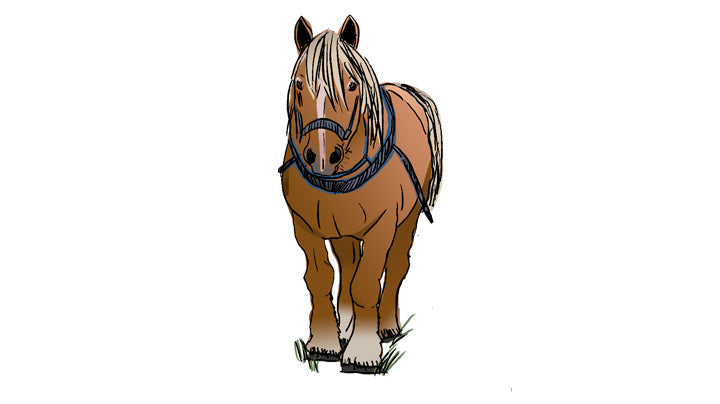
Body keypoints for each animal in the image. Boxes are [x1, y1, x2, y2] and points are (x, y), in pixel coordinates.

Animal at [279, 15, 443, 373]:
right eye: (298, 83)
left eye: (352, 85)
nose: (321, 157)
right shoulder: (304, 225)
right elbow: (320, 277)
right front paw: (324, 342)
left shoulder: (383, 225)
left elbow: (367, 282)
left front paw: (364, 351)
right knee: (349, 263)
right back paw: (347, 327)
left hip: (407, 219)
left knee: (395, 265)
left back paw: (386, 327)